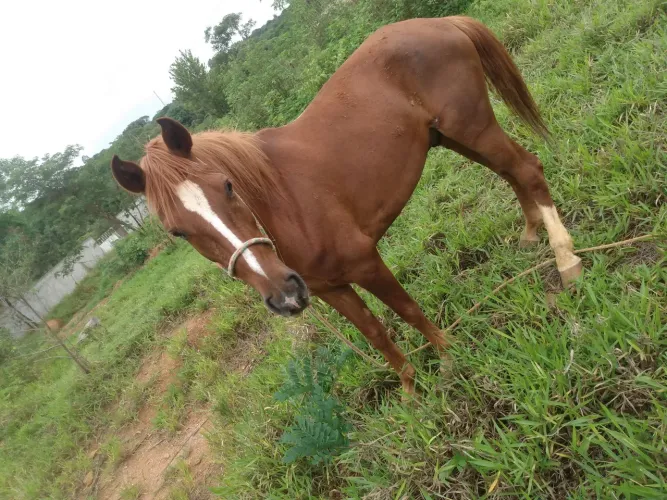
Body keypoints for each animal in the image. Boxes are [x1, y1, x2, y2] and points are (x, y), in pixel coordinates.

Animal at [111, 16, 582, 394]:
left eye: (227, 186)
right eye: (178, 231)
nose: (283, 295)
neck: (284, 201)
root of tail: (440, 21)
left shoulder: (364, 262)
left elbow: (407, 309)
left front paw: (449, 358)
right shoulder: (328, 288)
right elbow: (375, 333)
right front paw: (411, 393)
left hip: (472, 126)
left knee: (527, 170)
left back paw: (567, 262)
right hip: (454, 136)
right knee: (510, 173)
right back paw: (530, 235)